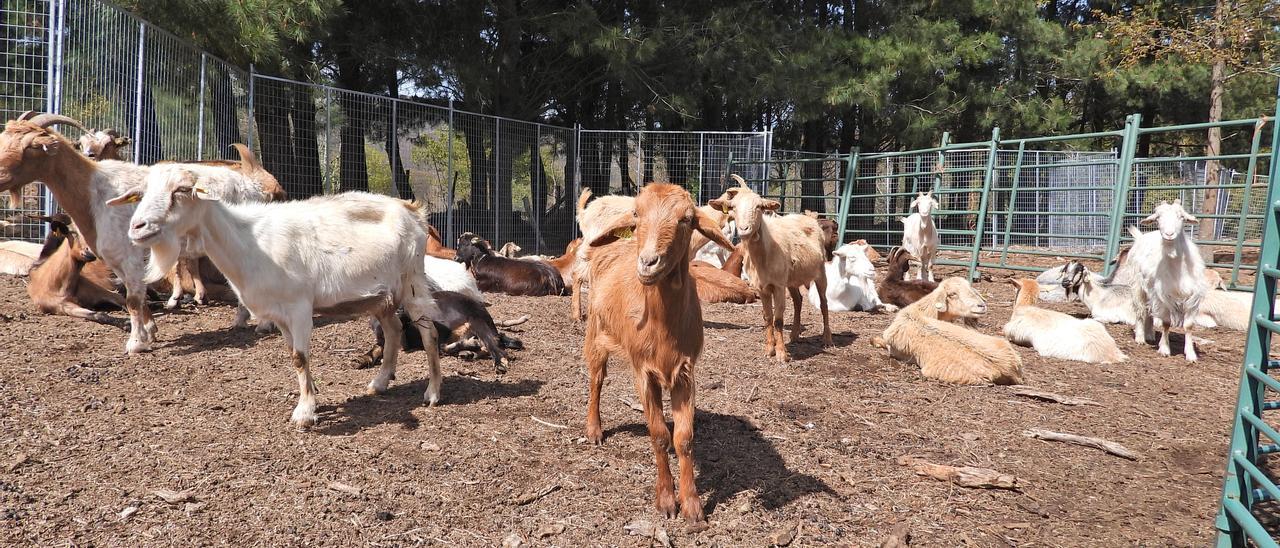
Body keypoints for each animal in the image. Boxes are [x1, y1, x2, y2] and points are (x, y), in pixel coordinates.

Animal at [115, 166, 445, 427]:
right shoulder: (280, 314)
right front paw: (311, 397)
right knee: (394, 329)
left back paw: (432, 392)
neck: (249, 243)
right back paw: (380, 382)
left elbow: (300, 356)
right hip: (381, 295)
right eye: (142, 192)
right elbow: (294, 357)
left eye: (181, 190)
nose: (137, 227)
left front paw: (304, 413)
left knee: (428, 334)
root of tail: (413, 210)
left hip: (412, 279)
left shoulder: (299, 307)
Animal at [581, 180, 732, 522]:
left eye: (686, 219)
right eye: (636, 215)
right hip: (596, 331)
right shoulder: (643, 371)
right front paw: (665, 500)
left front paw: (692, 505)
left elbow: (684, 438)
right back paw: (594, 429)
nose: (649, 262)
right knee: (596, 379)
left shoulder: (685, 372)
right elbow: (659, 434)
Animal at [1131, 198, 1208, 361]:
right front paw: (1165, 349)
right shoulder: (1163, 295)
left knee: (1149, 310)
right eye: (1158, 217)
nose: (1169, 234)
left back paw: (1150, 335)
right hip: (1138, 285)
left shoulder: (1193, 296)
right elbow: (1166, 323)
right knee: (1140, 309)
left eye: (1181, 217)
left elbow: (1188, 325)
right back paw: (1140, 337)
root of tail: (1141, 236)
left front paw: (1191, 354)